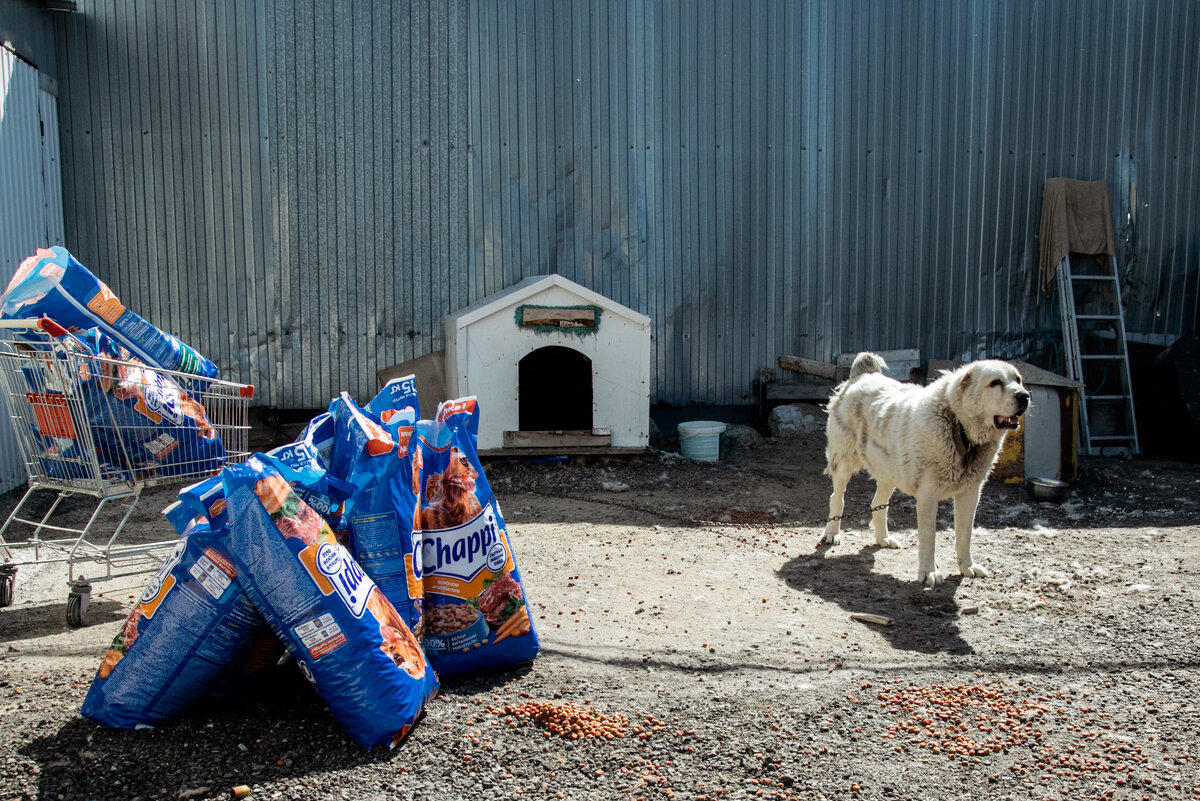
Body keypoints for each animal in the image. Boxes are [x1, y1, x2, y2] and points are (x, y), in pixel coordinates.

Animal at [825, 352, 1032, 585]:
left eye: (1018, 380)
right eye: (996, 383)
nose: (1025, 396)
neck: (959, 429)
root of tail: (862, 375)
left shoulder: (970, 493)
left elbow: (965, 534)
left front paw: (967, 567)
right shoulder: (928, 496)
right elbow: (929, 537)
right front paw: (929, 572)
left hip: (889, 470)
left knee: (878, 503)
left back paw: (884, 538)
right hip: (844, 462)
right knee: (837, 498)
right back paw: (832, 533)